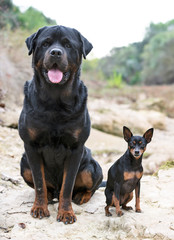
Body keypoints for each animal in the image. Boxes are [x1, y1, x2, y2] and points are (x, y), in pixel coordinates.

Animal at [18, 25, 103, 224]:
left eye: (68, 45)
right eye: (45, 43)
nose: (55, 52)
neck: (55, 99)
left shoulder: (75, 148)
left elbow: (68, 186)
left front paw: (66, 212)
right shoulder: (31, 147)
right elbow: (39, 183)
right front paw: (39, 207)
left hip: (92, 167)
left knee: (90, 187)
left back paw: (81, 196)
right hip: (24, 163)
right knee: (45, 186)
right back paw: (49, 196)